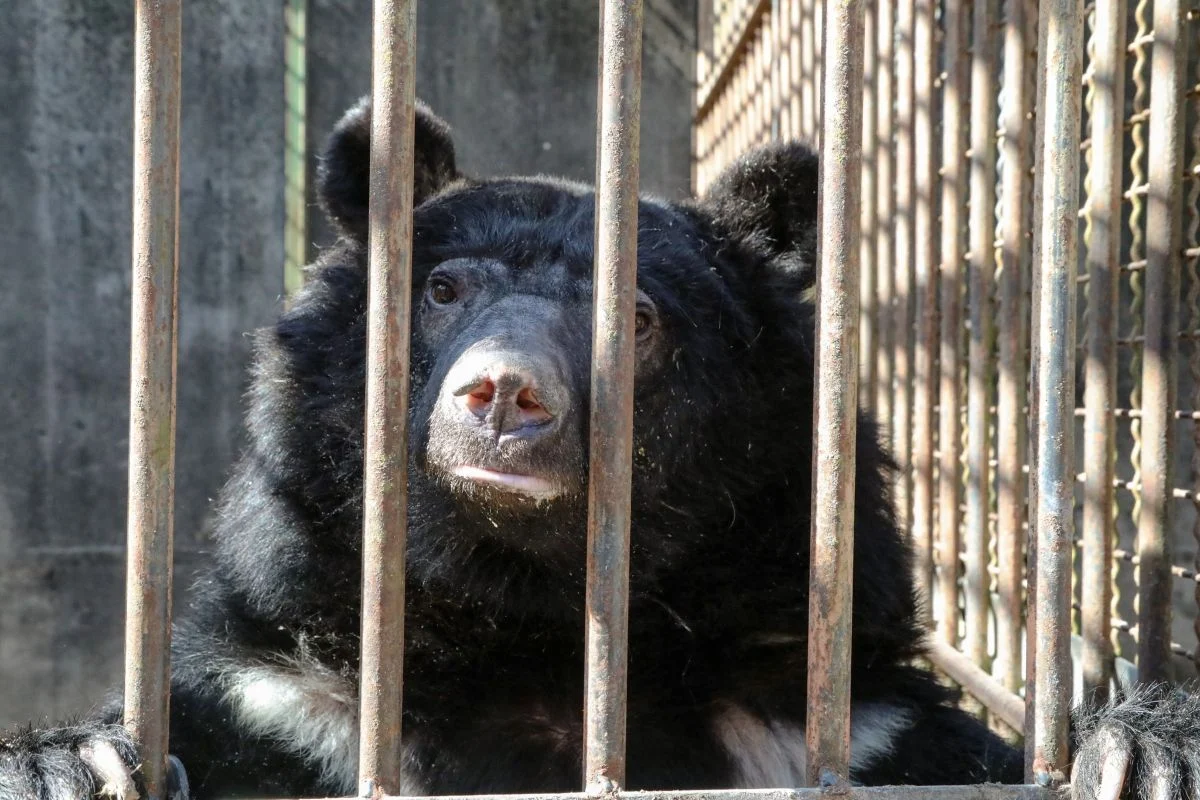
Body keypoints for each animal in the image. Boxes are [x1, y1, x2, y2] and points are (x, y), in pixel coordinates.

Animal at [1, 96, 1198, 800]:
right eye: (444, 290)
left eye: (640, 315)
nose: (501, 393)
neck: (530, 613)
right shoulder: (290, 705)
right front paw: (63, 762)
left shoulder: (846, 727)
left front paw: (1143, 747)